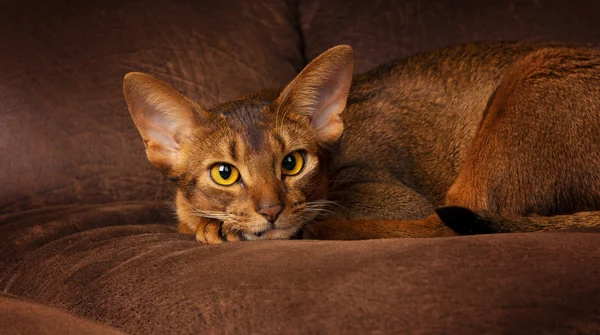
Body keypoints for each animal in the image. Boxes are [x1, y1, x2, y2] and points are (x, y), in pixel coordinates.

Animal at [120, 41, 600, 244]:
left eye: (292, 163)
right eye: (224, 173)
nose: (271, 211)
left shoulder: (400, 198)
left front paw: (222, 226)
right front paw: (209, 222)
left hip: (533, 75)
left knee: (454, 219)